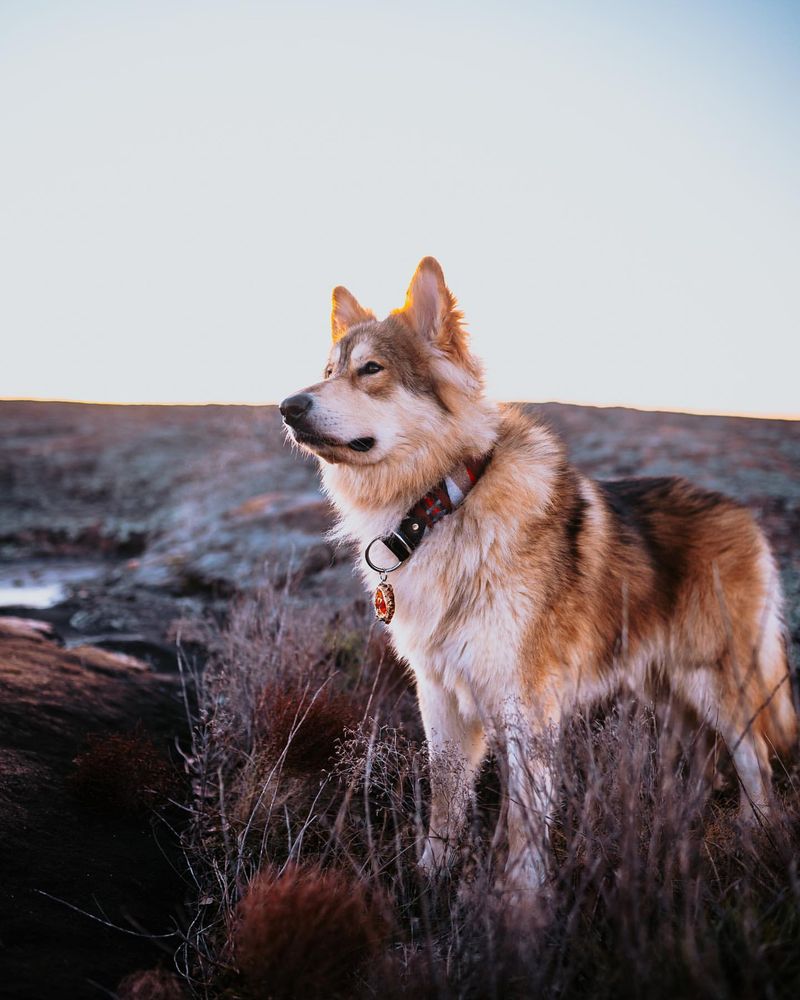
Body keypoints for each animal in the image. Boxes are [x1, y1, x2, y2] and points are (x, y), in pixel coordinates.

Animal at [280, 258, 792, 892]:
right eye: (327, 371)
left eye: (370, 369)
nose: (288, 407)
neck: (443, 504)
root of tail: (744, 514)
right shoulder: (440, 695)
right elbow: (445, 797)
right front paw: (431, 879)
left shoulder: (526, 704)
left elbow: (526, 820)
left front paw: (520, 903)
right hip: (665, 685)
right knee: (706, 758)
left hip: (717, 680)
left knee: (756, 761)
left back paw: (754, 838)